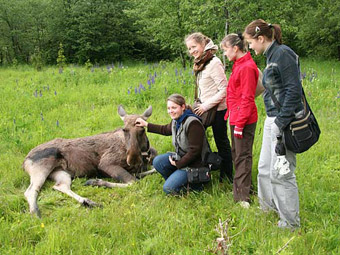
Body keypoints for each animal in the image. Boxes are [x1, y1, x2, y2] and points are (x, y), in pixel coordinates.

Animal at [22, 105, 157, 217]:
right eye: (124, 129)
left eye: (142, 129)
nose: (132, 159)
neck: (145, 154)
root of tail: (24, 162)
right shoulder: (106, 163)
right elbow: (134, 182)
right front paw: (96, 181)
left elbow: (148, 171)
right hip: (41, 169)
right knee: (30, 191)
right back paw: (35, 212)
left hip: (61, 173)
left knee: (60, 186)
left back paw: (89, 202)